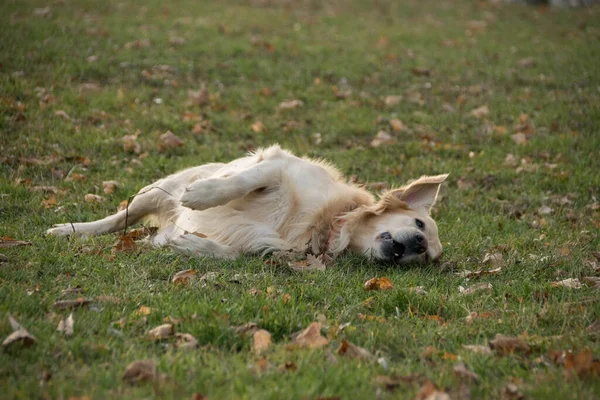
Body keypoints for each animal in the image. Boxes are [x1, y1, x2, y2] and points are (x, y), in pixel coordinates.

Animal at [47, 145, 448, 264]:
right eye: (419, 225)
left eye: (426, 258)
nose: (416, 246)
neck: (330, 222)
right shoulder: (277, 167)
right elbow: (240, 182)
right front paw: (201, 196)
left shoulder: (266, 246)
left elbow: (232, 252)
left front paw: (188, 244)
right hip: (156, 191)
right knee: (117, 219)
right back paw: (69, 230)